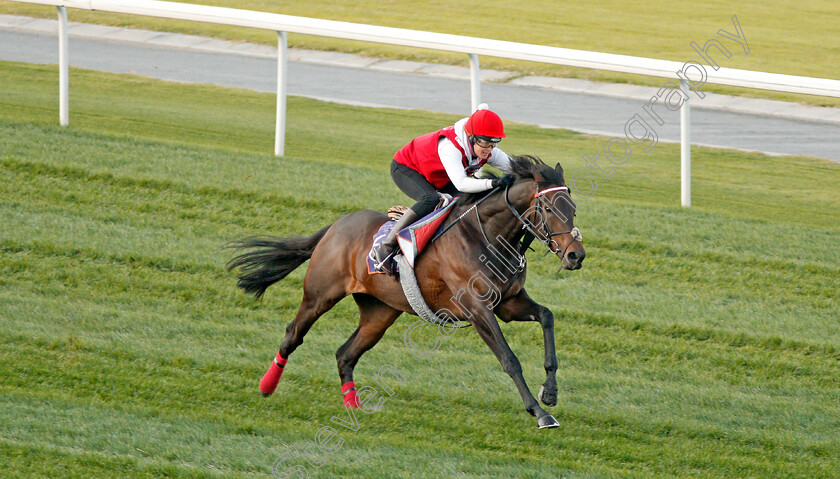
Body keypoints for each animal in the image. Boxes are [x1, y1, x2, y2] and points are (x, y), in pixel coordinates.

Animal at [226, 156, 588, 430]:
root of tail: (336, 226)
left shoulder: (508, 303)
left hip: (380, 312)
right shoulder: (477, 308)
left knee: (346, 353)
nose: (576, 256)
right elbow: (509, 359)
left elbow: (547, 317)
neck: (488, 235)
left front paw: (550, 392)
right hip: (320, 295)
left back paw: (353, 405)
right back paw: (267, 386)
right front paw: (540, 413)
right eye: (550, 209)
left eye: (572, 207)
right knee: (293, 335)